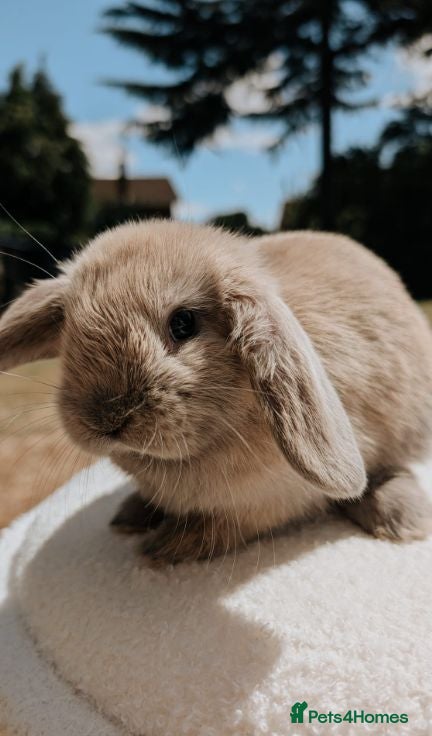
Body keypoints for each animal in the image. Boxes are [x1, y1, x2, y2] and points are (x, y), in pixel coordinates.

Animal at [1, 219, 432, 564]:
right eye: (69, 330)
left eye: (184, 323)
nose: (106, 419)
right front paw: (135, 519)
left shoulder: (272, 502)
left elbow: (221, 528)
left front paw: (165, 548)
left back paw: (400, 518)